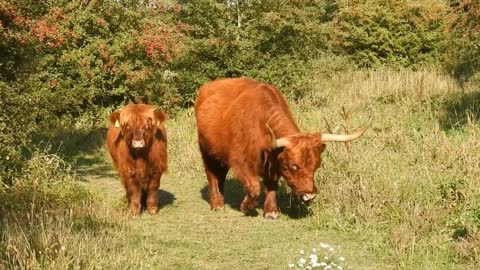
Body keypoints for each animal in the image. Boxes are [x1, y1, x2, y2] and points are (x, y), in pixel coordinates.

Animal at [193, 78, 366, 219]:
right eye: (294, 166)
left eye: (316, 166)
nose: (309, 195)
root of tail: (207, 87)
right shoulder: (241, 161)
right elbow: (255, 187)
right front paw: (246, 207)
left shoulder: (274, 163)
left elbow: (272, 185)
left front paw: (270, 211)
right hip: (207, 150)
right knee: (212, 174)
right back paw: (217, 203)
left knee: (220, 175)